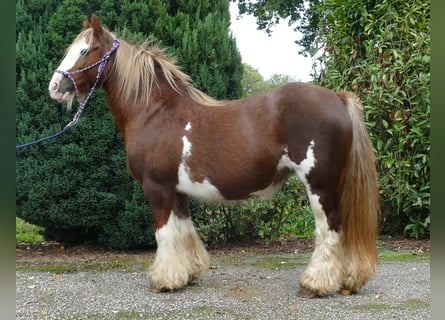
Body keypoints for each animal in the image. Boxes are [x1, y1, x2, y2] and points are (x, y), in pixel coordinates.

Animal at [47, 13, 378, 296]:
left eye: (84, 51)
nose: (55, 86)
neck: (155, 111)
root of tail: (338, 98)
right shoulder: (176, 190)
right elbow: (183, 230)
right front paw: (188, 274)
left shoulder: (157, 187)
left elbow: (164, 233)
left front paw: (164, 279)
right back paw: (347, 280)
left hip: (318, 185)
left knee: (329, 229)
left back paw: (316, 283)